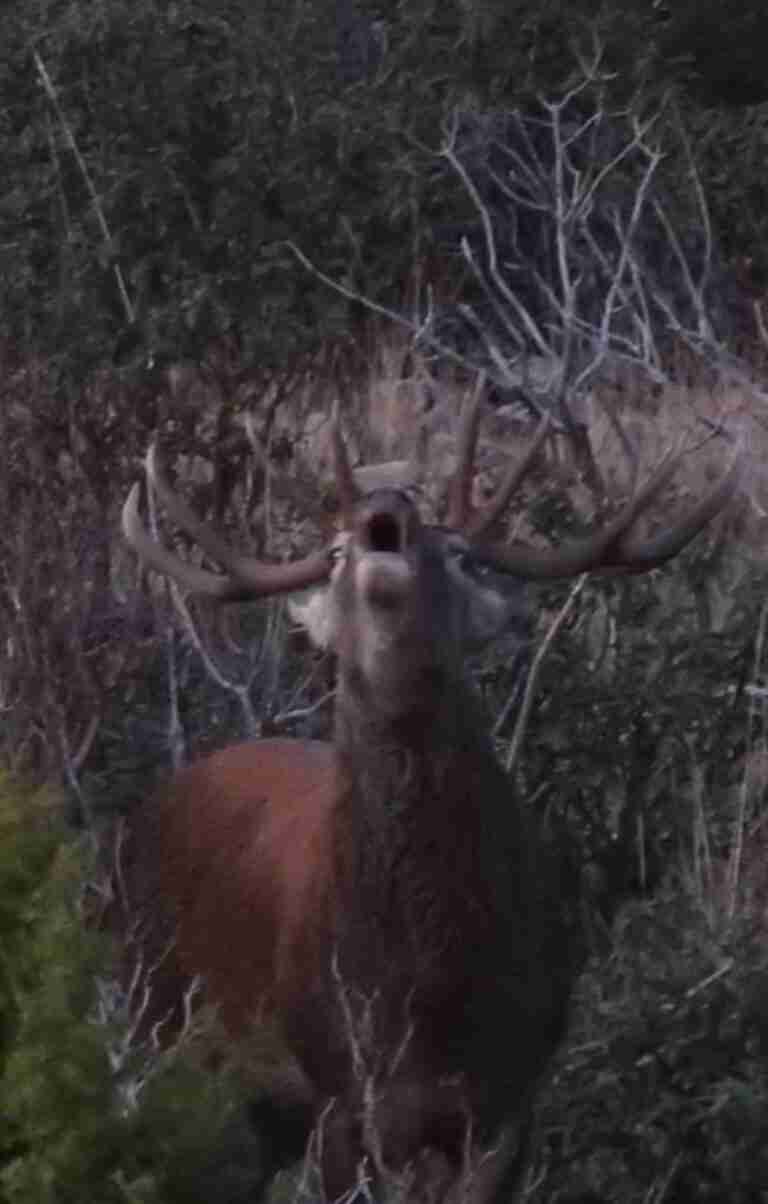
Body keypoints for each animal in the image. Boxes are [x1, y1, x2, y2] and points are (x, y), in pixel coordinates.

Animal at [120, 394, 739, 1202]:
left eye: (459, 553)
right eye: (335, 553)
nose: (385, 507)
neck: (423, 991)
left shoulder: (510, 1095)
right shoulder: (340, 1089)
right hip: (151, 1010)